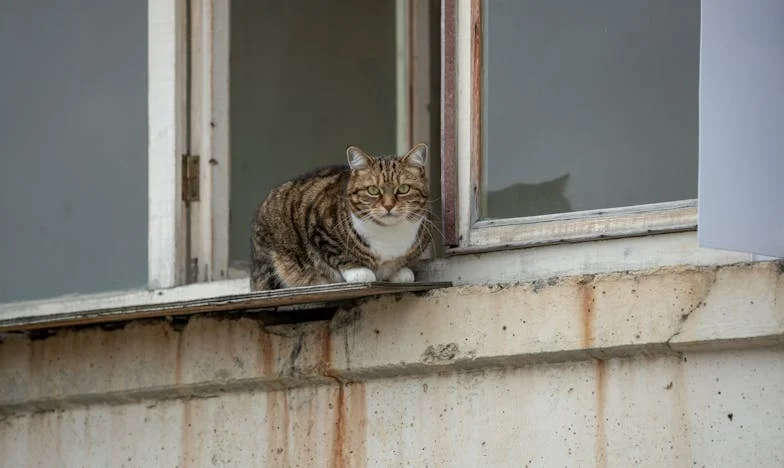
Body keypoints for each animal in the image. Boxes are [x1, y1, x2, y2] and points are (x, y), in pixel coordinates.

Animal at [250, 144, 428, 288]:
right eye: (373, 190)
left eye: (404, 188)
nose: (389, 205)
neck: (388, 234)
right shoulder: (318, 228)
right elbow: (337, 253)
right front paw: (359, 271)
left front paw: (400, 271)